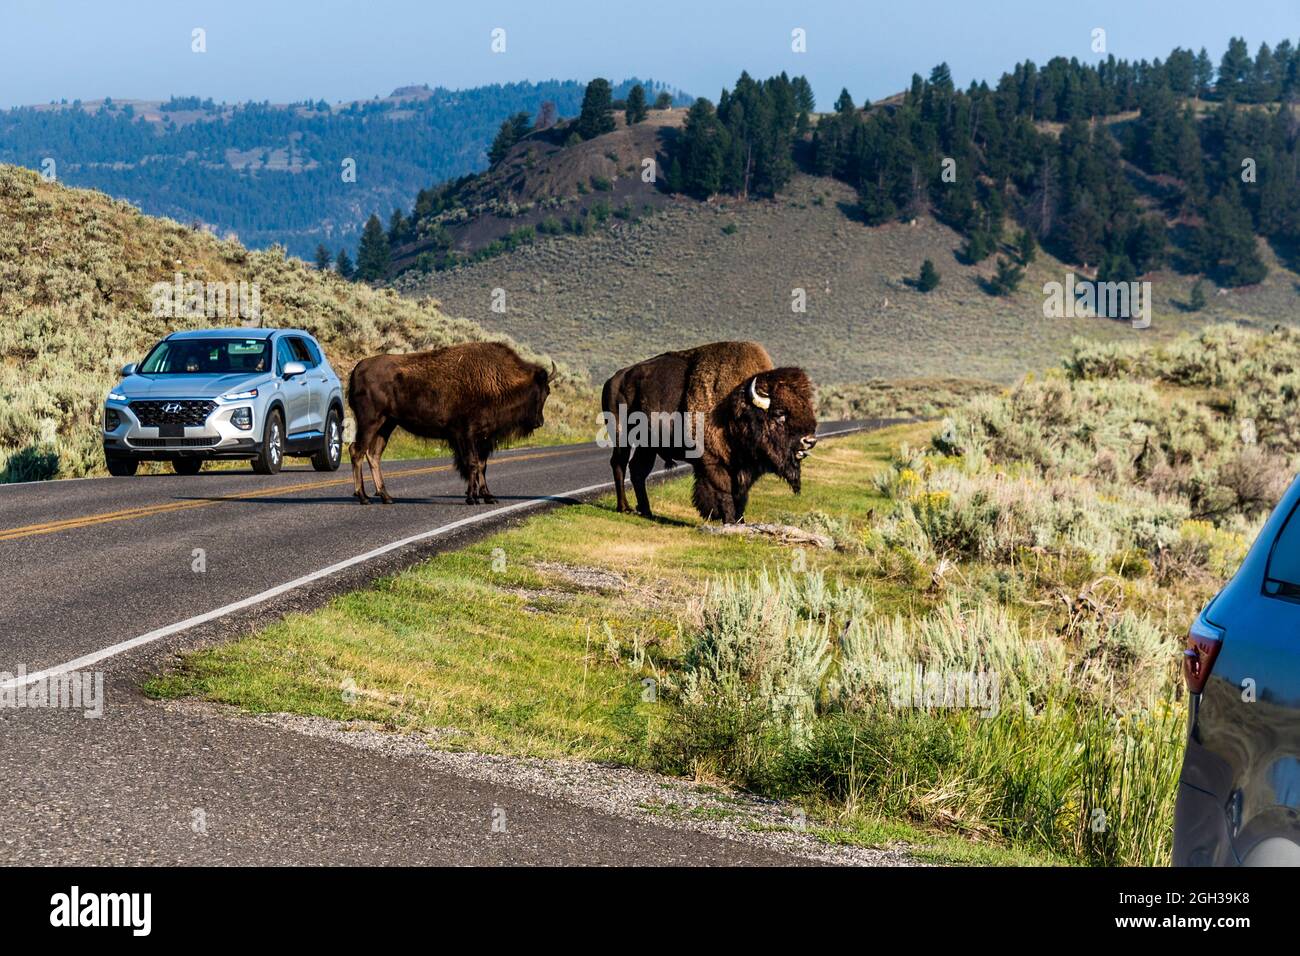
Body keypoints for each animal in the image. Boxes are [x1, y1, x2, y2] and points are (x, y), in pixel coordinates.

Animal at [345, 343, 548, 509]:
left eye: (547, 392)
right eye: (538, 392)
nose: (539, 422)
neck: (498, 379)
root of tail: (358, 368)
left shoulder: (483, 439)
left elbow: (482, 466)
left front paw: (488, 497)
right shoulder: (467, 435)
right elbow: (472, 464)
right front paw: (472, 498)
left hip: (387, 424)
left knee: (373, 455)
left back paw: (386, 497)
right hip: (370, 422)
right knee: (357, 451)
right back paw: (363, 497)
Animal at [595, 343, 811, 528]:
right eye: (779, 414)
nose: (809, 441)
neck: (733, 409)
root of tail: (612, 380)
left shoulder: (742, 470)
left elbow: (741, 495)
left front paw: (741, 522)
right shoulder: (713, 461)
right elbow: (724, 491)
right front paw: (729, 521)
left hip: (647, 446)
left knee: (638, 470)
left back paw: (646, 511)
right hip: (621, 435)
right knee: (619, 464)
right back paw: (624, 508)